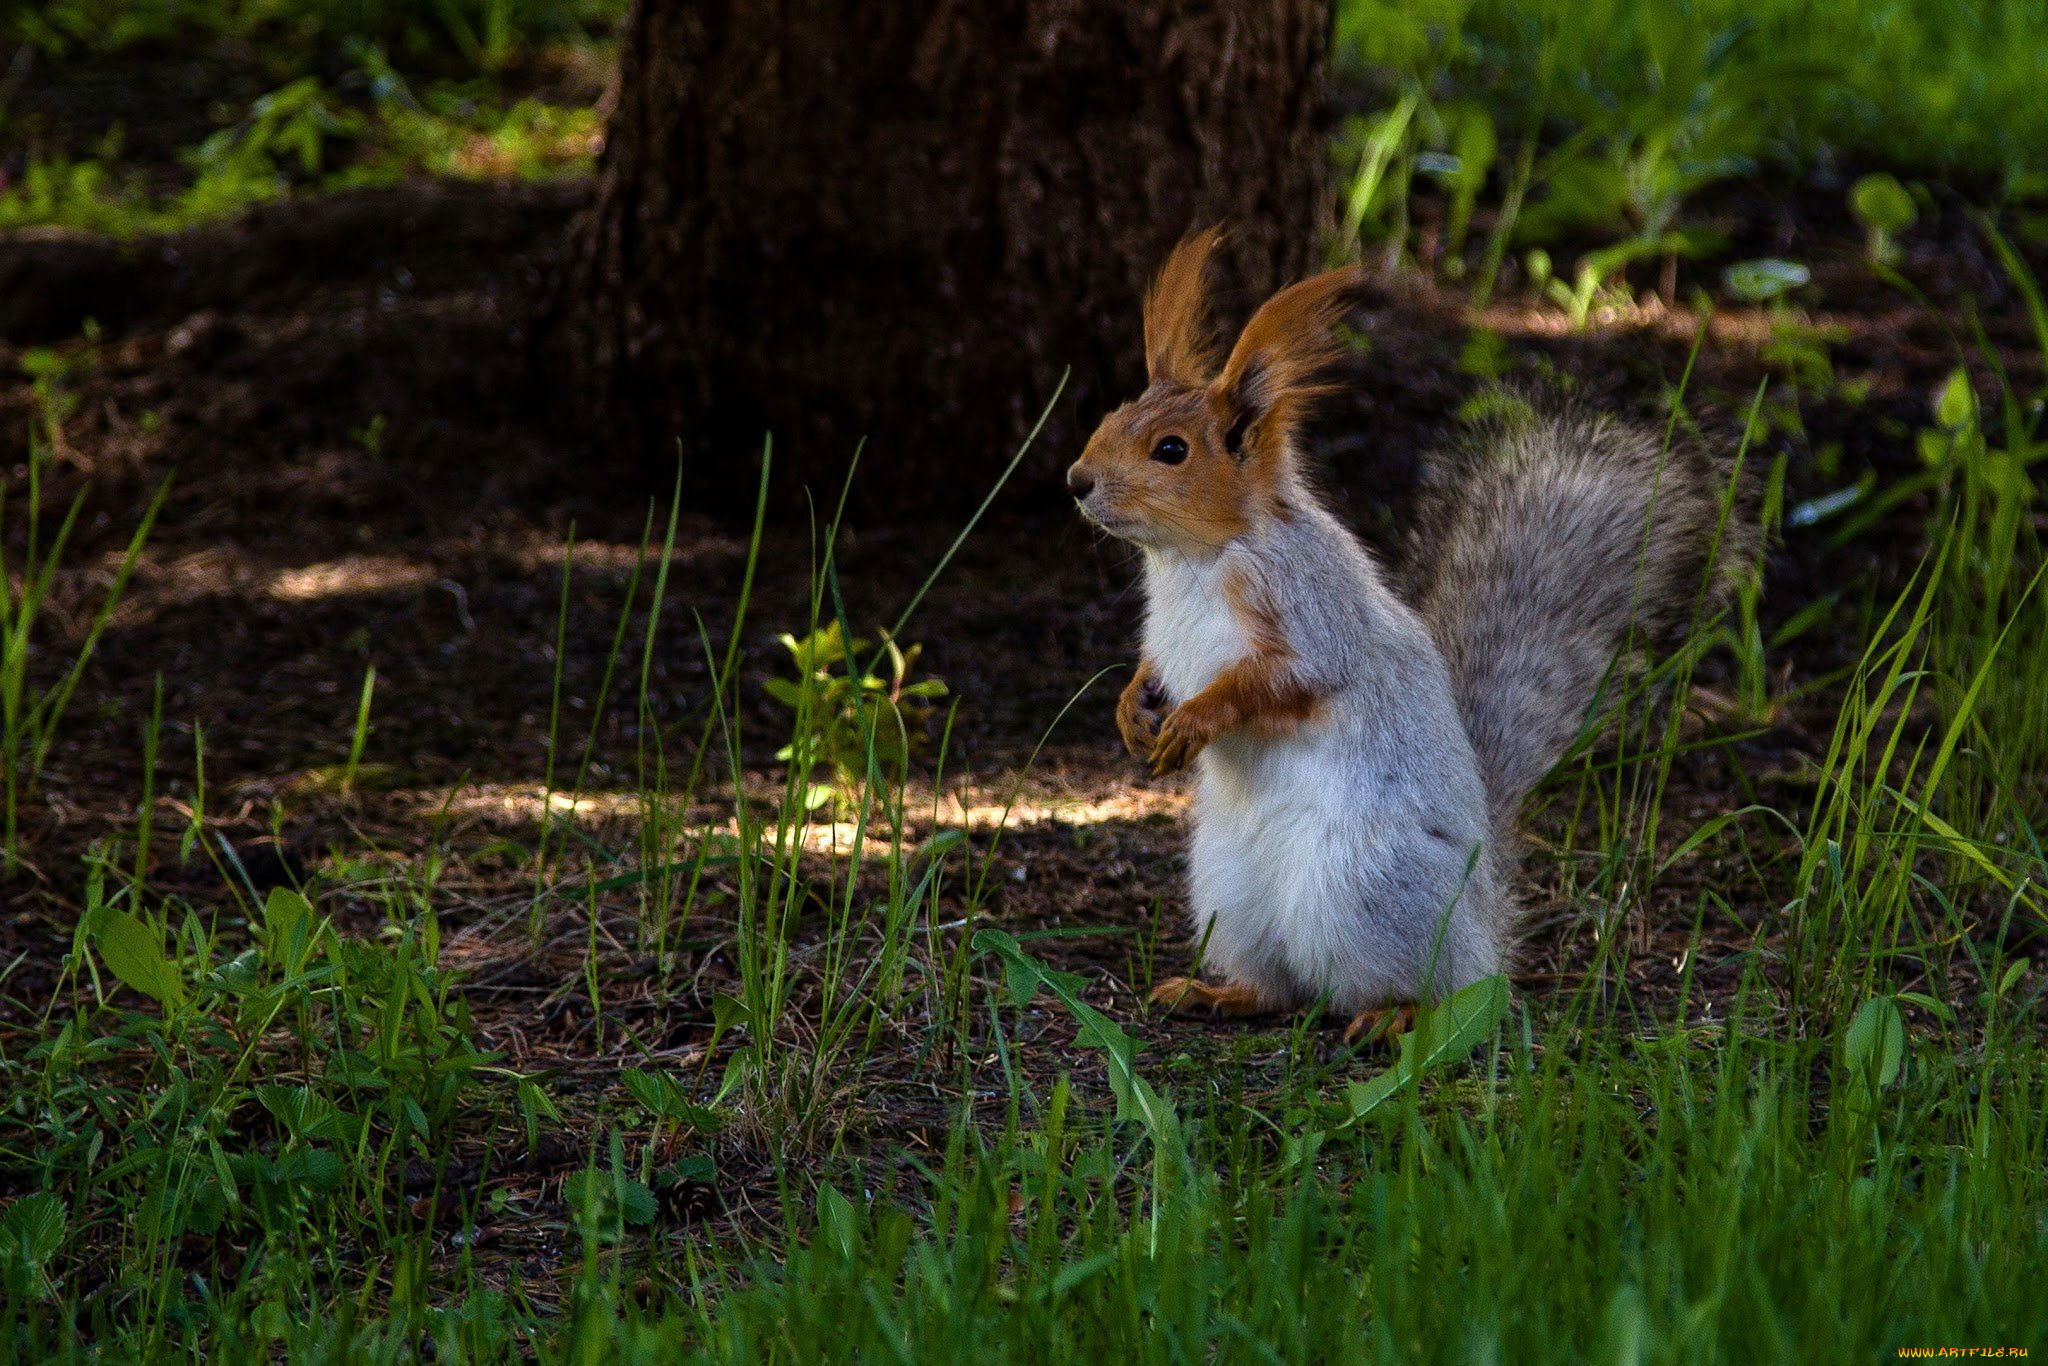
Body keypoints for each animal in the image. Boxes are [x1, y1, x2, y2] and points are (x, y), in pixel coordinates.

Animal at [1064, 232, 1753, 1048]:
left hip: (1364, 888)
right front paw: (1132, 710)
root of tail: (1484, 911)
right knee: (1284, 986)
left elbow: (1283, 681)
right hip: (1230, 894)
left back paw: (1393, 1015)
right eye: (1113, 417)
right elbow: (1152, 668)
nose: (1077, 480)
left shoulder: (1309, 610)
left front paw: (1196, 719)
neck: (1195, 559)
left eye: (1171, 450)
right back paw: (1220, 993)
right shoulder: (1168, 633)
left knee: (1433, 987)